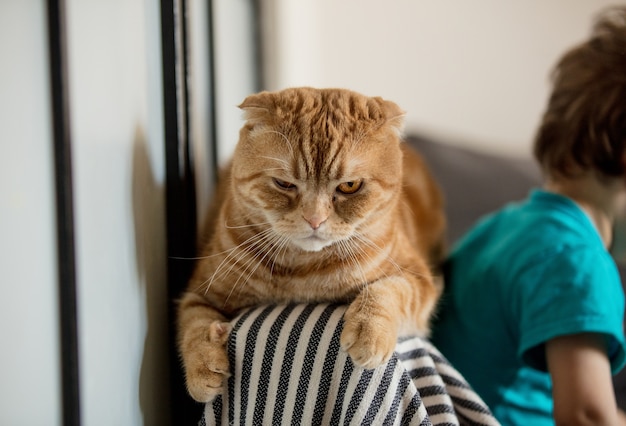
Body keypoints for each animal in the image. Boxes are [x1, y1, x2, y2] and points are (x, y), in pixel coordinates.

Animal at [178, 87, 446, 402]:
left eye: (350, 186)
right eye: (284, 184)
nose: (314, 219)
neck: (301, 273)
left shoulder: (419, 280)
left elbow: (389, 289)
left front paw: (369, 331)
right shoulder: (200, 292)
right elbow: (194, 325)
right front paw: (203, 369)